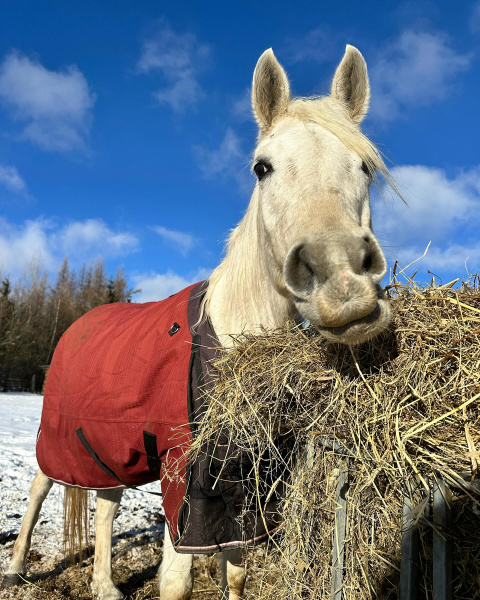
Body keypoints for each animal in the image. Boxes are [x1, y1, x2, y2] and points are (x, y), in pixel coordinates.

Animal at [1, 47, 394, 600]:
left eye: (366, 167)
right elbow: (175, 581)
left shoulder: (242, 483)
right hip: (60, 437)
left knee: (105, 506)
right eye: (262, 167)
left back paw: (105, 585)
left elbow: (237, 570)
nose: (340, 279)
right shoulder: (186, 481)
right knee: (40, 487)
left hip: (109, 447)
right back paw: (16, 568)